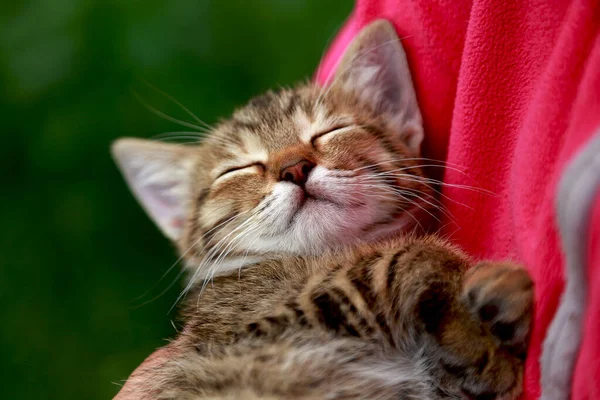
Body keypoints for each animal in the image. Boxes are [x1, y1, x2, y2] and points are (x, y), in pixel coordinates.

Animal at [110, 19, 532, 400]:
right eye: (237, 169)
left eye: (330, 131)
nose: (294, 168)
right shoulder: (263, 316)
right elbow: (400, 257)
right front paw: (487, 306)